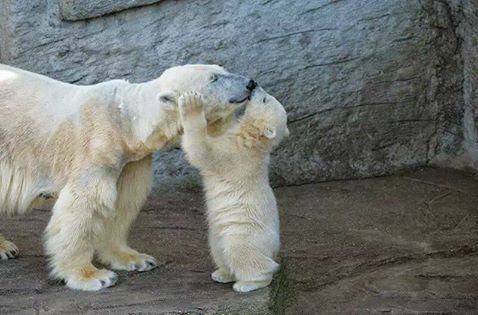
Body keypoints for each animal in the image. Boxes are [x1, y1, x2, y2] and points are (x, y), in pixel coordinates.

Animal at [0, 64, 258, 292]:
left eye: (222, 69)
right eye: (213, 78)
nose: (250, 83)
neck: (123, 120)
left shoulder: (131, 160)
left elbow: (122, 203)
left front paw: (135, 259)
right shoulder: (95, 149)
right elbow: (81, 207)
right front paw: (93, 276)